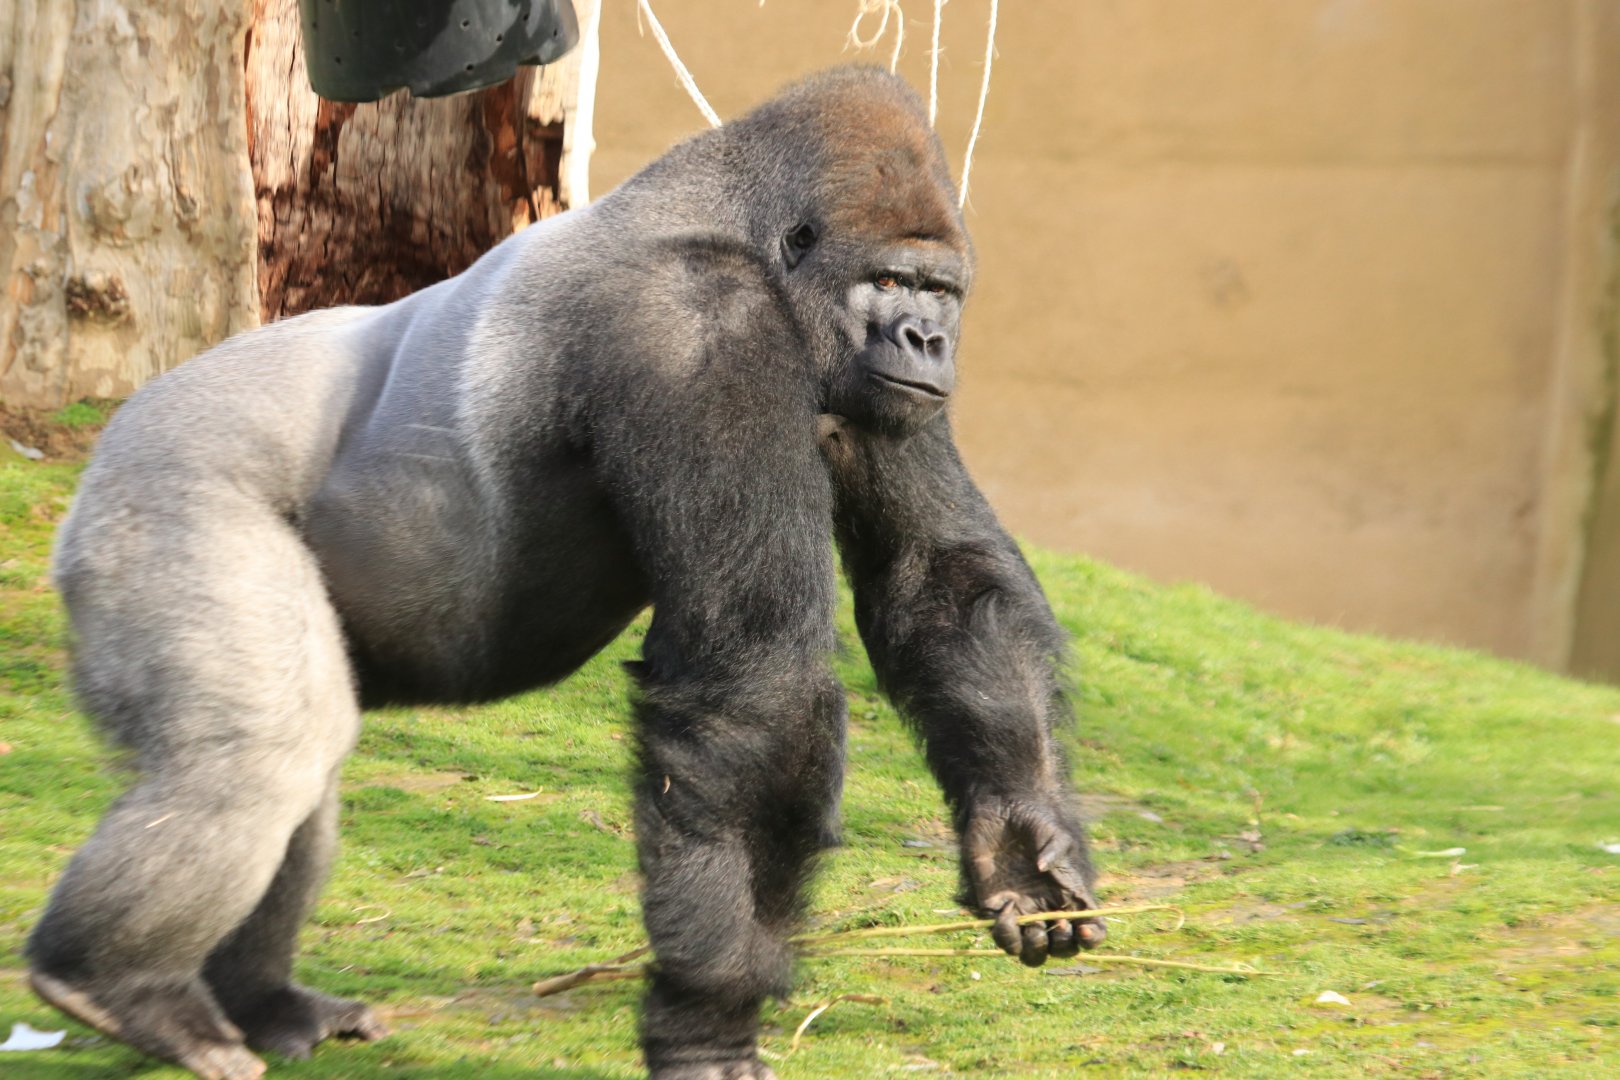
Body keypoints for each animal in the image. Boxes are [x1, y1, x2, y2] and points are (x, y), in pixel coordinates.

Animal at [27, 67, 1103, 1080]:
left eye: (942, 294)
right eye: (888, 281)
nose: (928, 339)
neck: (741, 225)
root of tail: (122, 426)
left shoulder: (880, 391)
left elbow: (939, 583)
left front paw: (1019, 837)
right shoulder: (695, 325)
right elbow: (755, 682)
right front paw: (709, 1016)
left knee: (297, 763)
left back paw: (261, 1001)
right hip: (166, 487)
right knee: (262, 752)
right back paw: (115, 985)